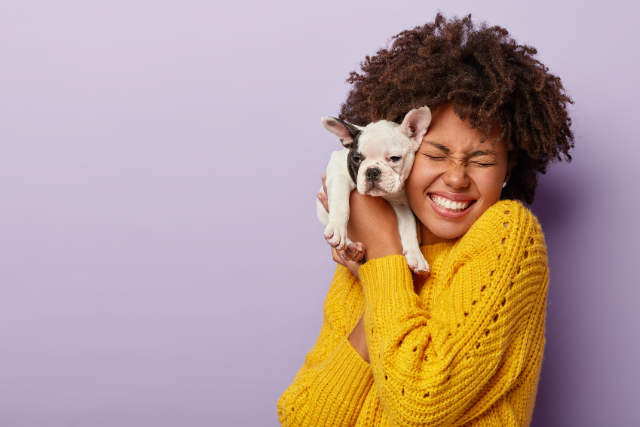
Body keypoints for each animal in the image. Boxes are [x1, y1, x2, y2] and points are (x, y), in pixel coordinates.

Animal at [316, 107, 430, 274]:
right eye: (356, 159)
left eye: (394, 158)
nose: (372, 171)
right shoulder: (338, 173)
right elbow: (340, 202)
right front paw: (337, 228)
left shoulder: (401, 205)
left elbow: (409, 228)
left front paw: (416, 256)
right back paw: (352, 249)